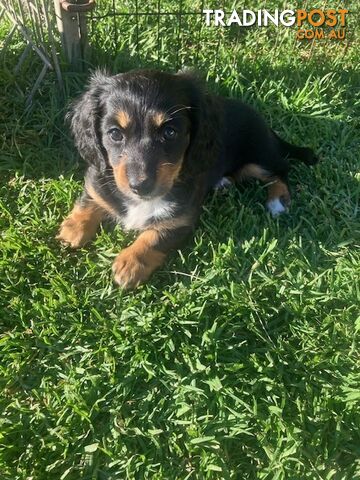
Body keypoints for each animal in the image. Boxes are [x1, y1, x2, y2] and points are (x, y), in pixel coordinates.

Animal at [57, 69, 318, 288]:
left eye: (170, 132)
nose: (140, 187)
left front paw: (130, 263)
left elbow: (154, 236)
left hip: (258, 157)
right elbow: (92, 195)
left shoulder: (181, 219)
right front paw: (73, 228)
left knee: (281, 169)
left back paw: (277, 200)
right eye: (114, 134)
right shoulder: (99, 177)